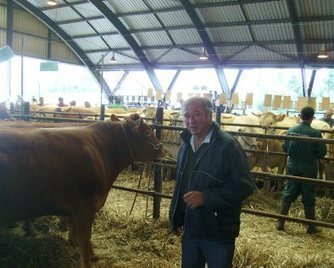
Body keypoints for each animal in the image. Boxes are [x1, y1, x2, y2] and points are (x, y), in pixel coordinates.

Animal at [0, 113, 166, 268]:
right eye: (148, 131)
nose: (163, 148)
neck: (102, 150)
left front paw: (90, 253)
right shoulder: (85, 206)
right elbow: (84, 238)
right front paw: (88, 260)